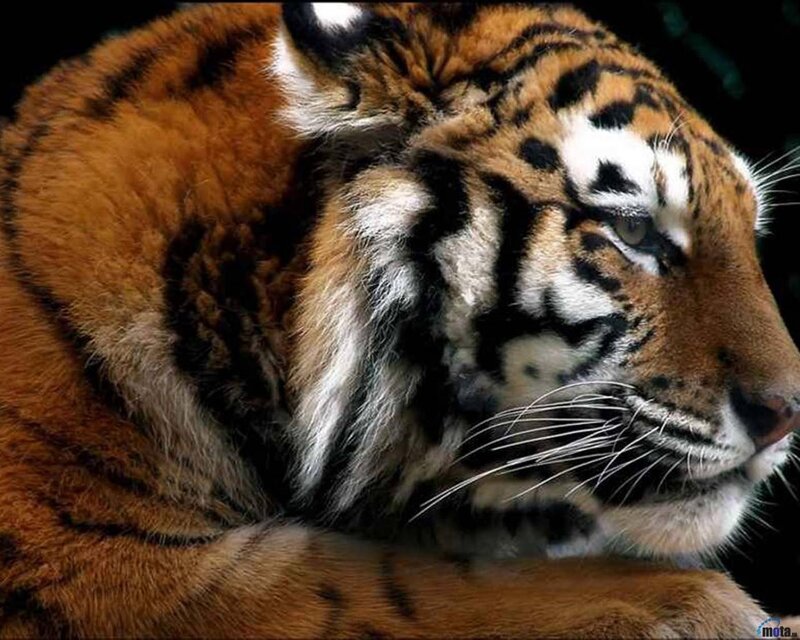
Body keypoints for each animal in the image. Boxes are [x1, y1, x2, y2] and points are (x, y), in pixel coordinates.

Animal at [1, 1, 797, 637]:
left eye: (750, 230)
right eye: (633, 230)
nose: (785, 416)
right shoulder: (106, 565)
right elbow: (410, 590)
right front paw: (707, 609)